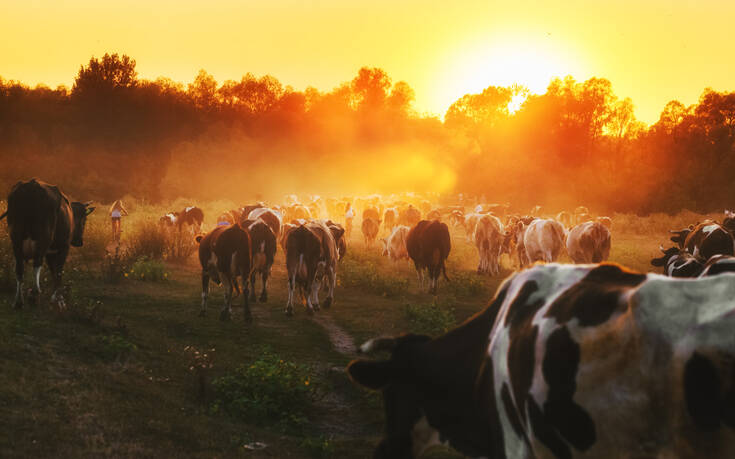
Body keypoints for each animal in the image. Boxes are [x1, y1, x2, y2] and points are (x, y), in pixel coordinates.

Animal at [0, 180, 95, 310]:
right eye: (84, 220)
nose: (79, 242)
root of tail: (32, 185)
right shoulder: (63, 248)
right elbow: (58, 272)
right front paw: (60, 300)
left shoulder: (50, 252)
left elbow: (53, 272)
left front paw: (55, 298)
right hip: (42, 239)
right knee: (37, 264)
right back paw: (34, 296)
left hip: (16, 239)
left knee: (19, 269)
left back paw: (18, 301)